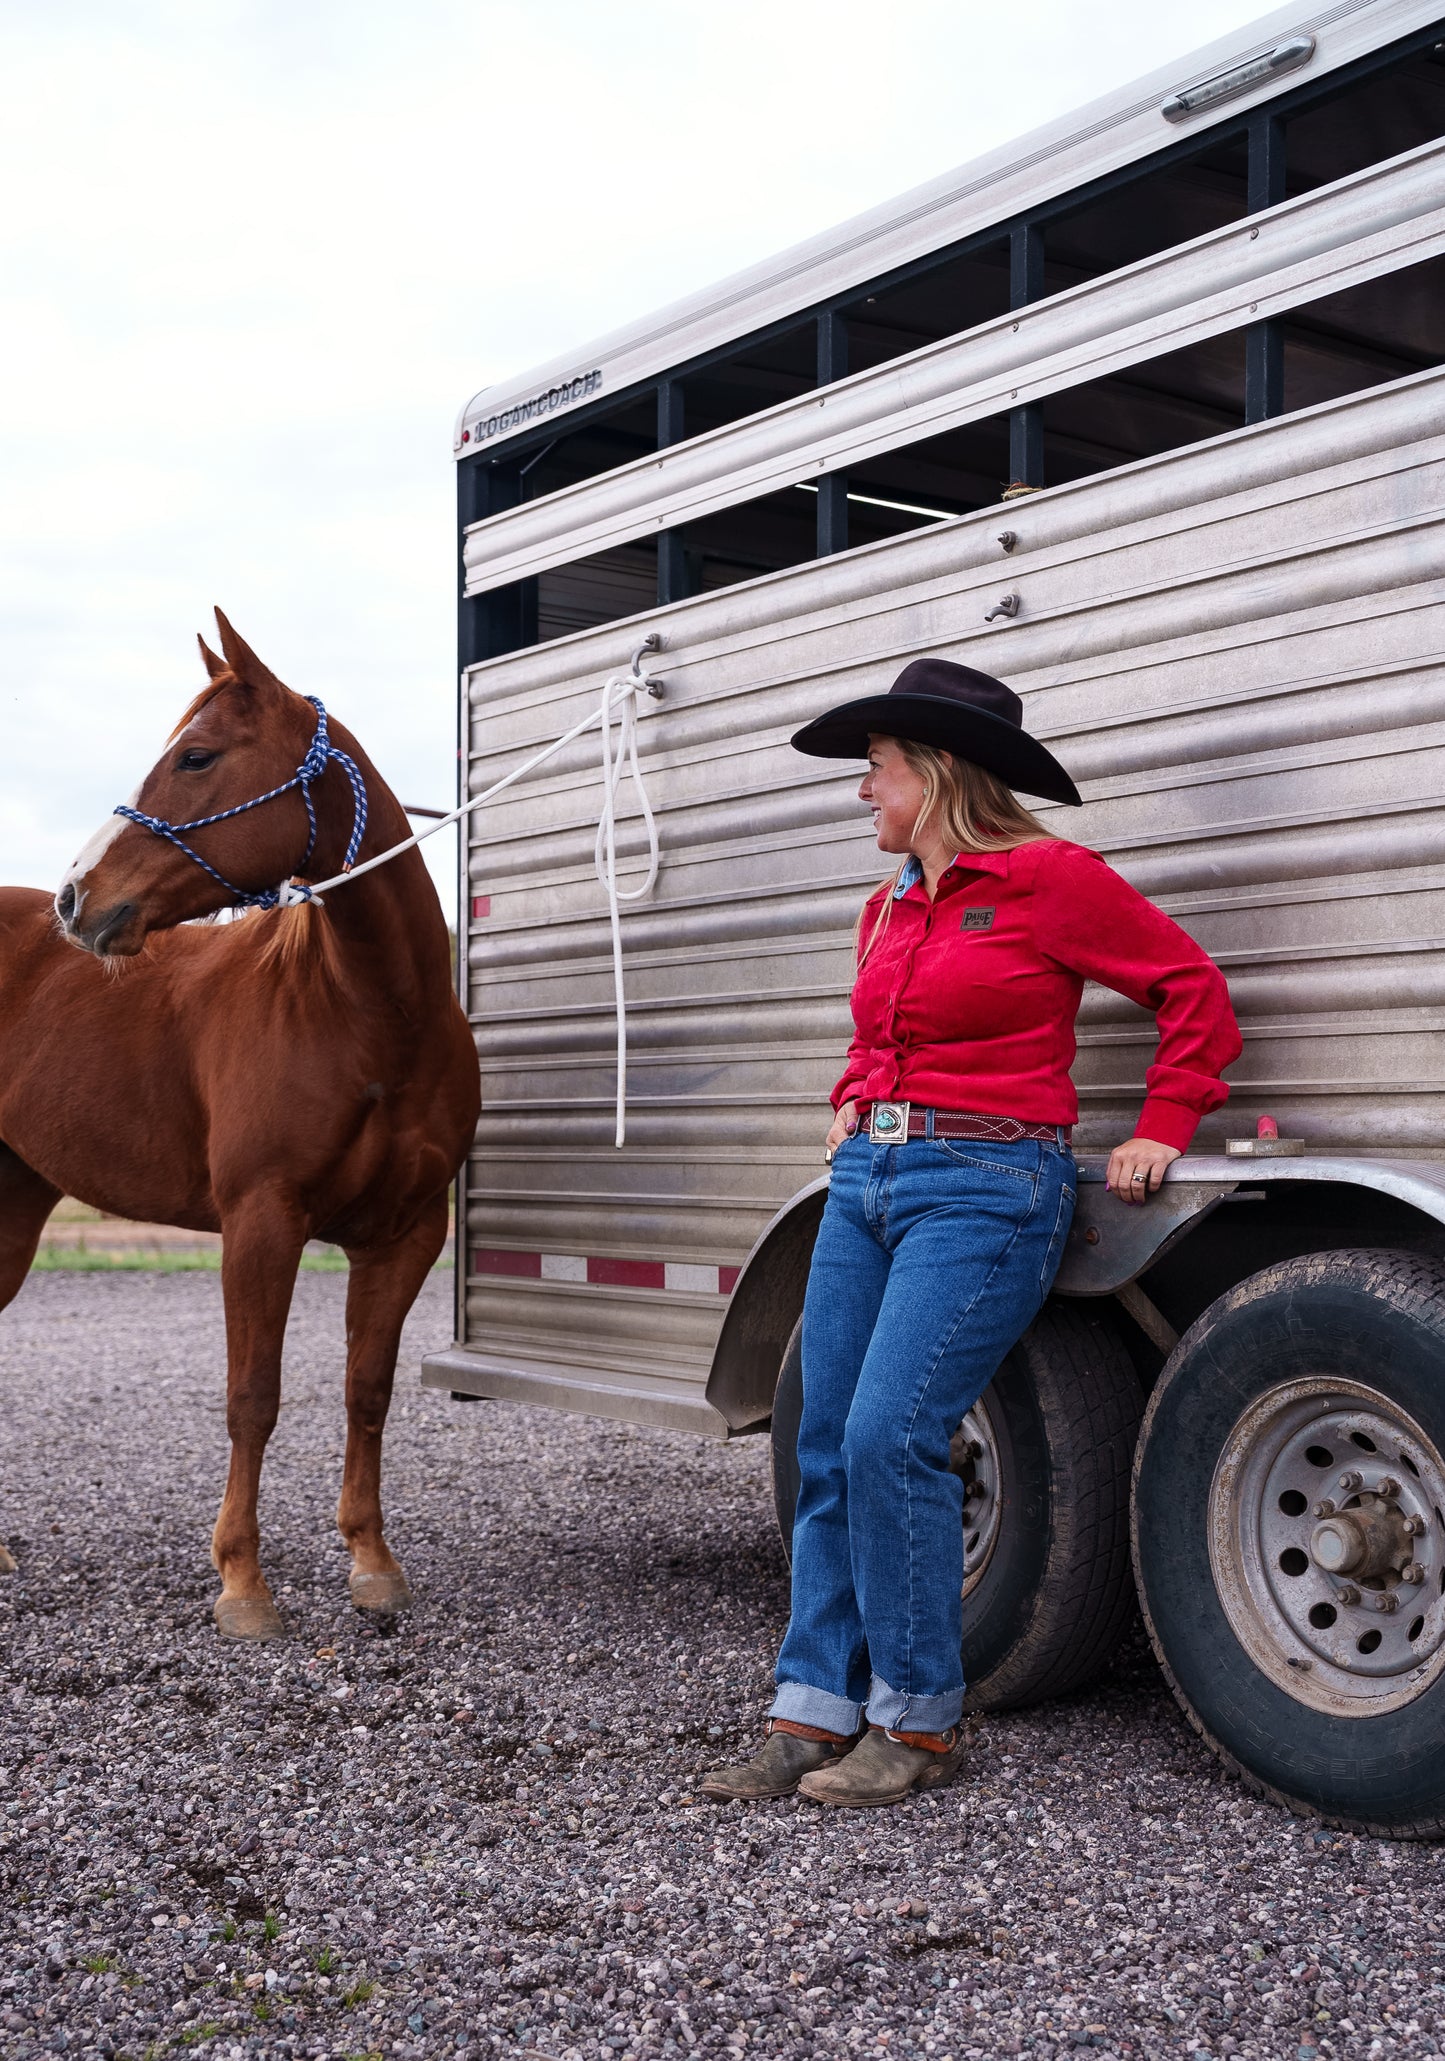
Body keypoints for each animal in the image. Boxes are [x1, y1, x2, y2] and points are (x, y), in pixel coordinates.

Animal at [0, 610, 478, 1640]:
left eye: (196, 755)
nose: (74, 899)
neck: (371, 1016)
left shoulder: (407, 1233)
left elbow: (367, 1390)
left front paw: (372, 1563)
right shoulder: (260, 1222)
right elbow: (253, 1397)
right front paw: (242, 1583)